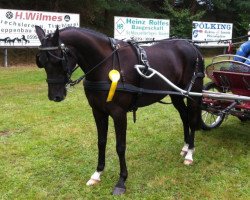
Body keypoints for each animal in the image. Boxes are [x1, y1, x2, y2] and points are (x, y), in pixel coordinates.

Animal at [34, 25, 203, 195]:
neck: (106, 64)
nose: (55, 96)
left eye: (57, 60)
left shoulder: (119, 114)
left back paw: (190, 153)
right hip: (176, 94)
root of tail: (192, 46)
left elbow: (120, 147)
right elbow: (101, 142)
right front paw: (97, 173)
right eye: (41, 61)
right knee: (184, 116)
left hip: (193, 93)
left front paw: (121, 180)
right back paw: (185, 146)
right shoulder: (98, 111)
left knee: (192, 119)